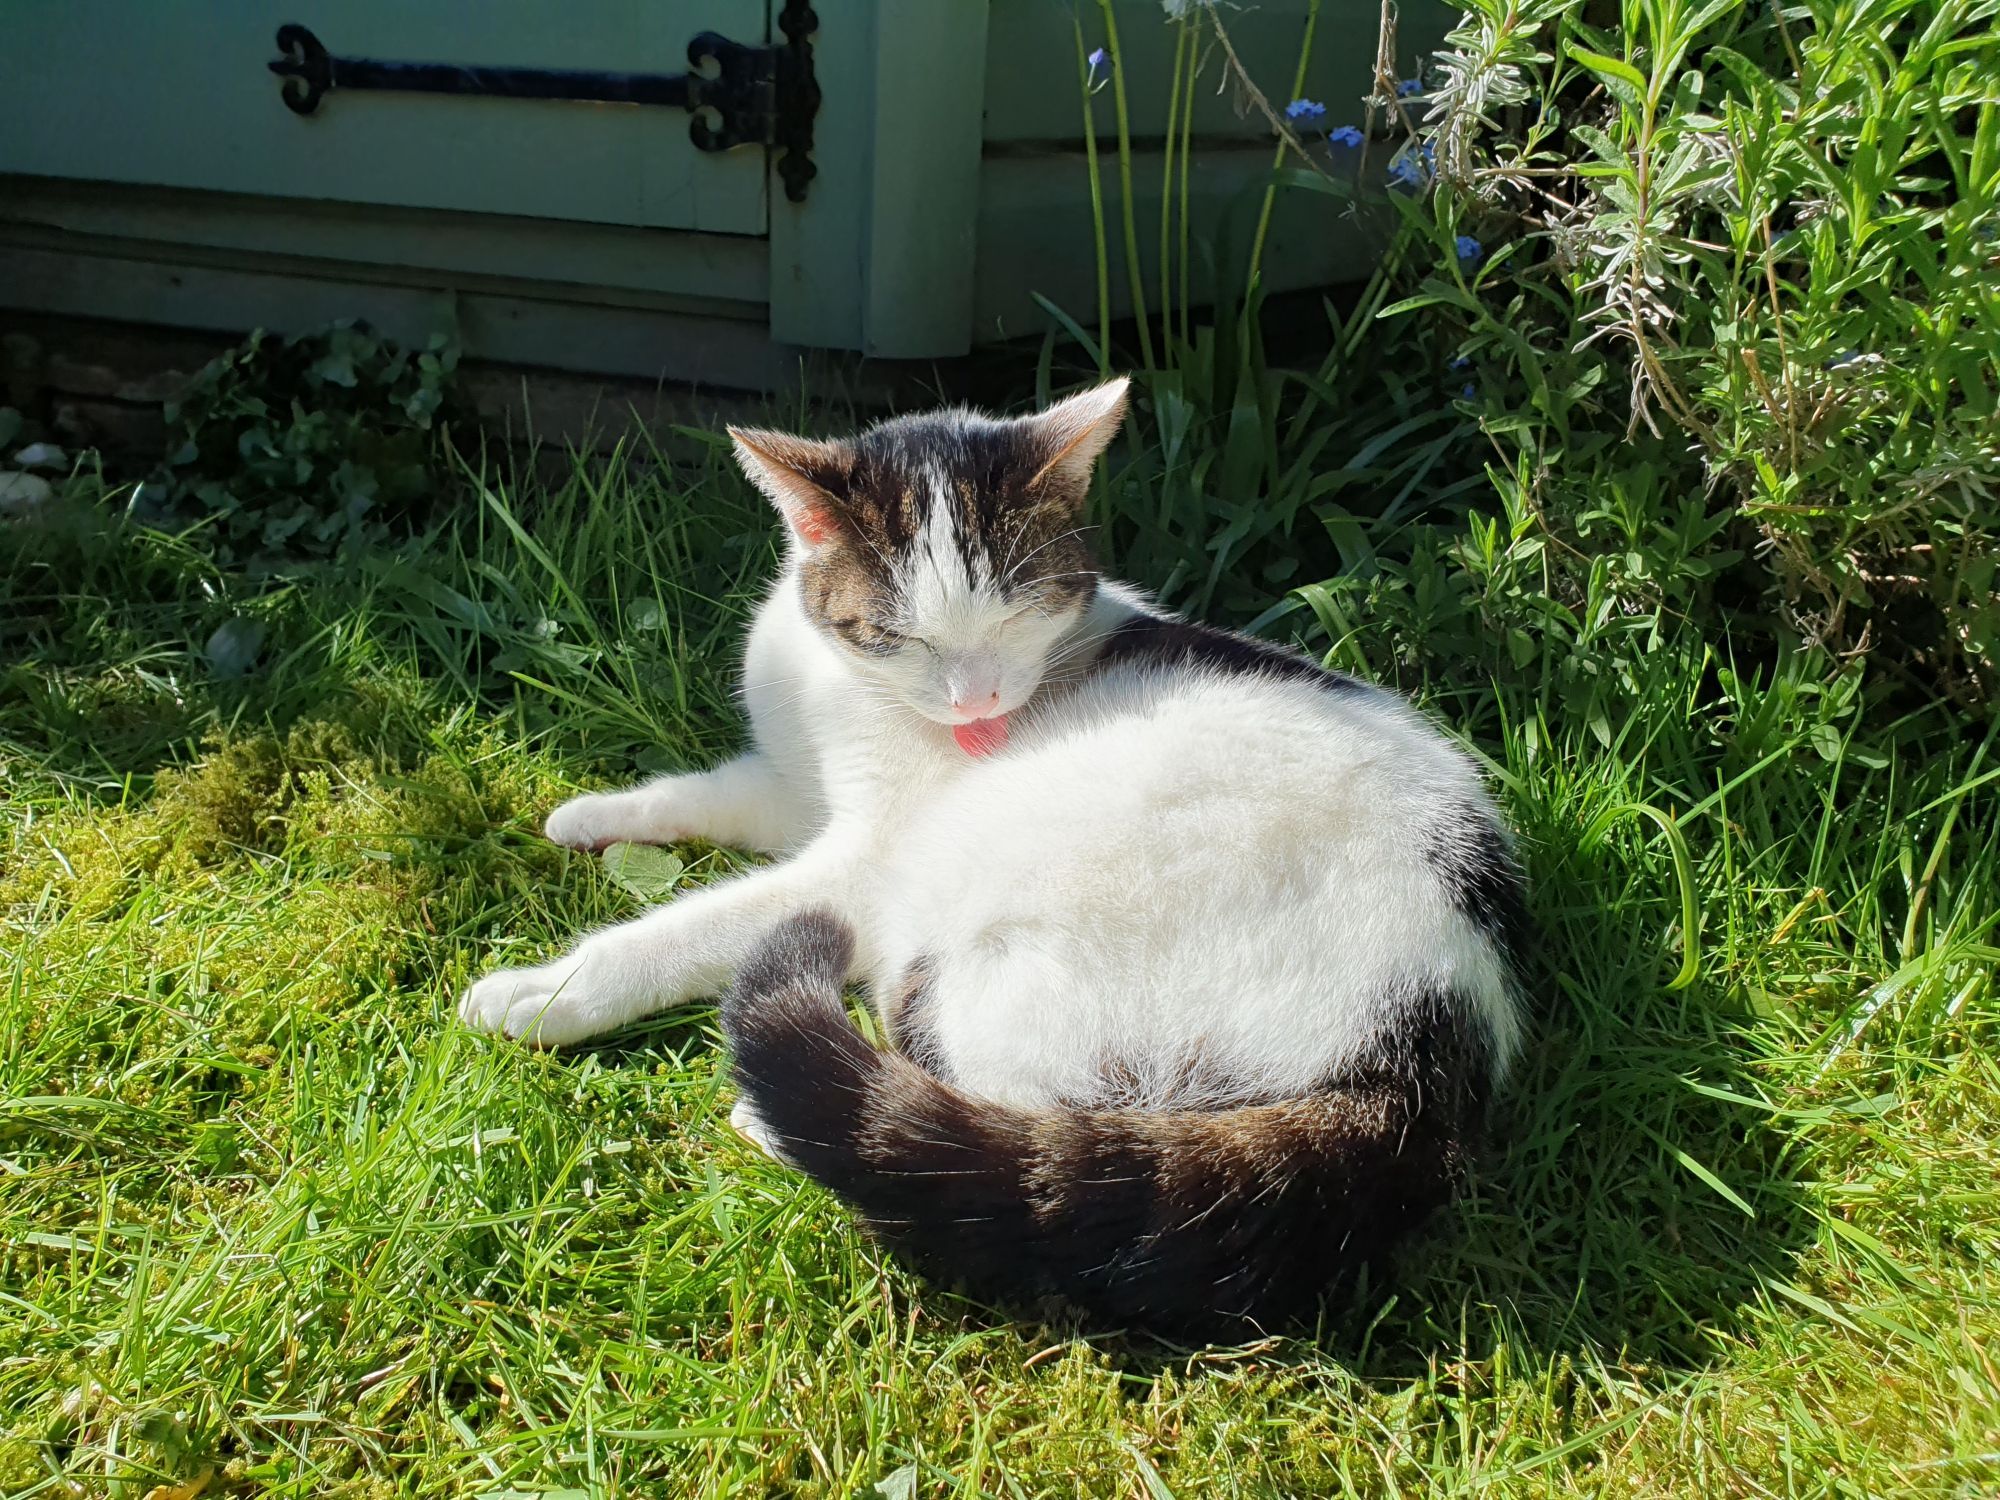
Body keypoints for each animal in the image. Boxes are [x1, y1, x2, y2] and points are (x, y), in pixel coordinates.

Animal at [464, 382, 1528, 1336]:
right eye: (898, 636)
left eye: (1019, 617)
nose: (976, 705)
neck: (841, 692)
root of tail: (1434, 1040)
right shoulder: (795, 786)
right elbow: (710, 792)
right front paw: (594, 814)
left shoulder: (861, 868)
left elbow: (697, 925)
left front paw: (549, 991)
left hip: (985, 935)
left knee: (997, 1122)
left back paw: (780, 1117)